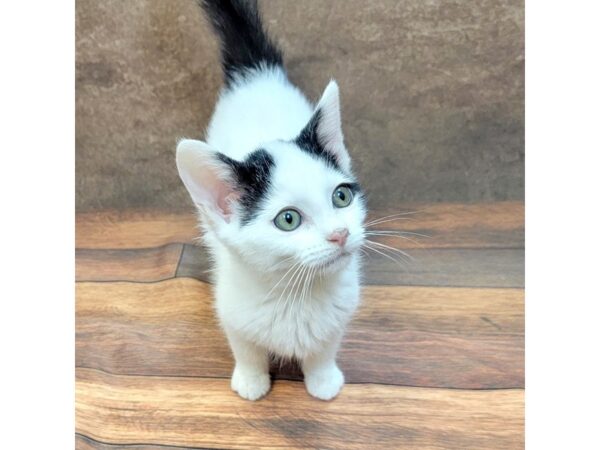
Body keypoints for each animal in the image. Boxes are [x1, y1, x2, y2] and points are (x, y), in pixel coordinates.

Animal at [175, 0, 366, 400]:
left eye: (341, 196)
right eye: (288, 219)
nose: (340, 234)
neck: (296, 292)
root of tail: (256, 74)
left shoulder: (341, 310)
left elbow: (325, 347)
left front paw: (323, 380)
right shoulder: (231, 307)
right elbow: (245, 347)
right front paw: (251, 381)